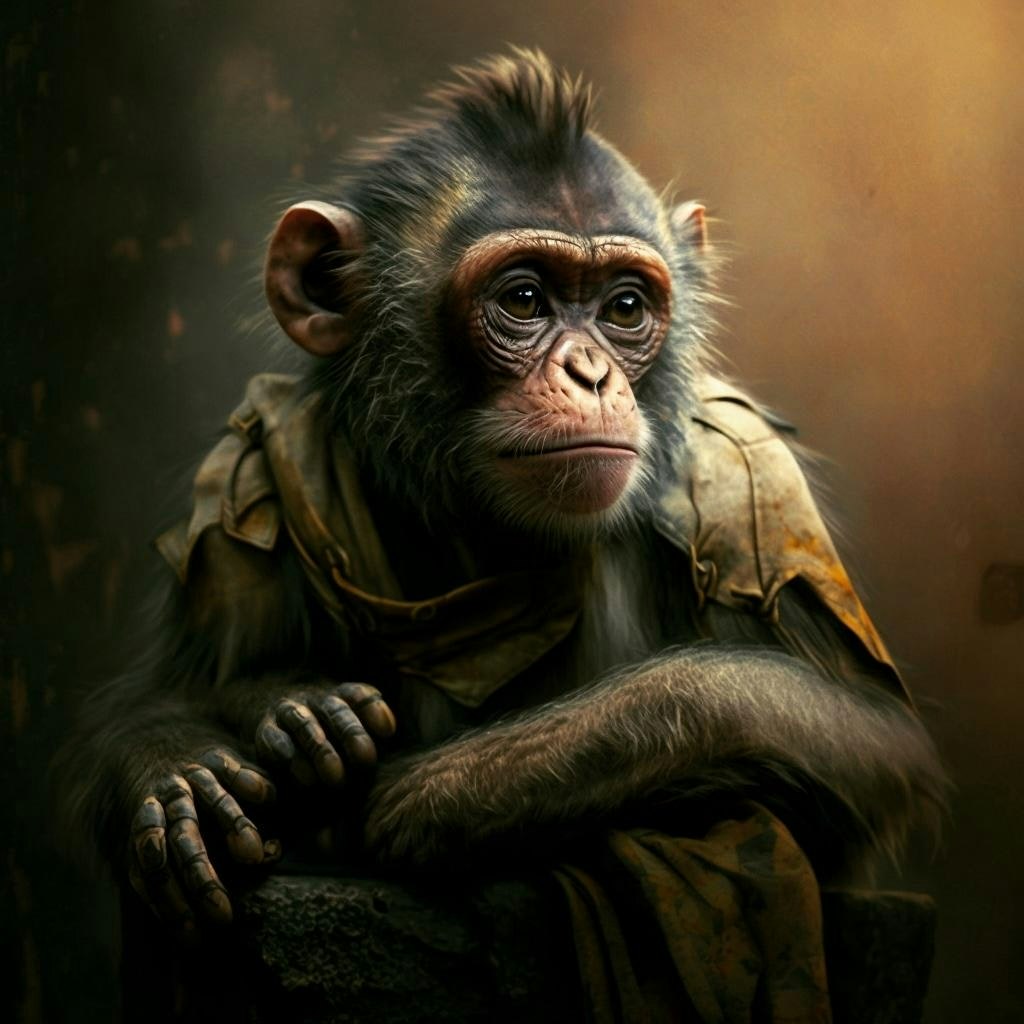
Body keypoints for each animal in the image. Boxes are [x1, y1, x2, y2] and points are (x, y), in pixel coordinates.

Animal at [58, 49, 946, 1011]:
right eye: (523, 298)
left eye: (624, 308)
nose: (590, 372)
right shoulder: (246, 481)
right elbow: (169, 690)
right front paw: (207, 755)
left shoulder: (748, 483)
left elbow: (855, 740)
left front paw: (428, 793)